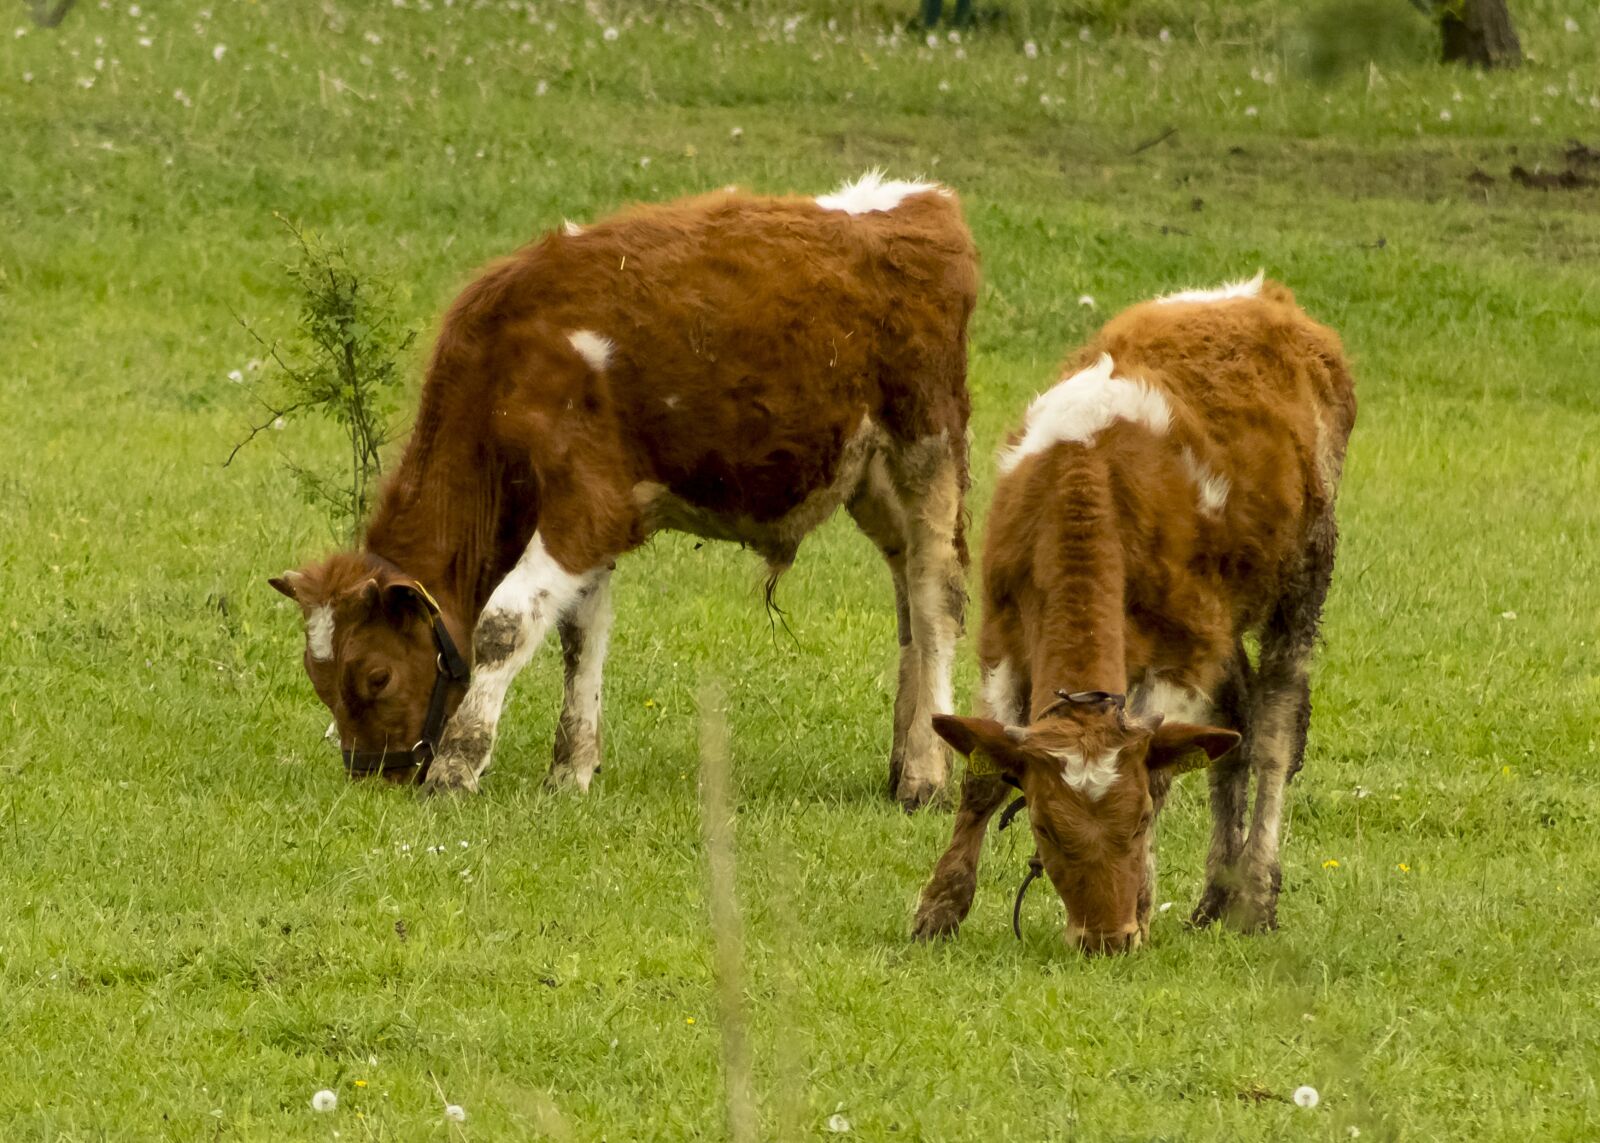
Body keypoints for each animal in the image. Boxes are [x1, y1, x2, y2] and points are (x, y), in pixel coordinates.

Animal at [269, 172, 978, 808]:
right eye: (318, 679)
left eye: (376, 676)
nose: (372, 776)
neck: (510, 356)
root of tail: (922, 203)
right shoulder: (591, 518)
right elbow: (579, 635)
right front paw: (570, 773)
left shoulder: (587, 506)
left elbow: (505, 623)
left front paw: (456, 767)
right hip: (870, 479)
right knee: (907, 601)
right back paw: (902, 761)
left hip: (927, 447)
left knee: (935, 595)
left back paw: (927, 777)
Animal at [911, 273, 1356, 953]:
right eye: (1044, 824)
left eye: (1142, 820)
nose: (1106, 937)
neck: (1086, 482)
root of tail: (1261, 294)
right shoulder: (1003, 638)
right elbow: (982, 774)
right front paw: (941, 905)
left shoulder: (1182, 649)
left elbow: (1167, 766)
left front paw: (1144, 903)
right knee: (1235, 721)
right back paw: (1214, 898)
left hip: (1304, 575)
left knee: (1276, 729)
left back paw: (1254, 897)